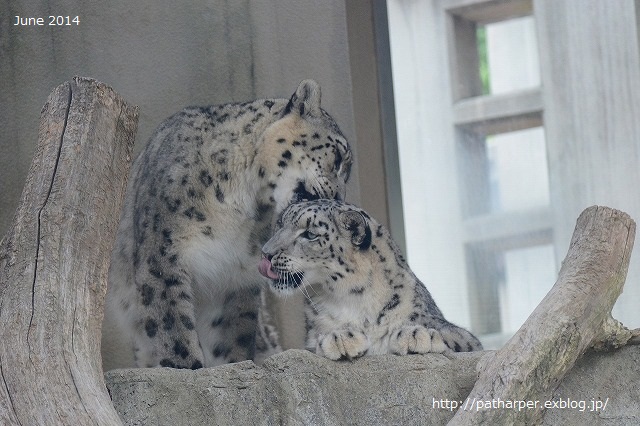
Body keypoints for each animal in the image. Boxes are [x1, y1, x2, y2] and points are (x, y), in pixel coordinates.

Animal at [100, 80, 352, 370]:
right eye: (338, 157)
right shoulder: (163, 254)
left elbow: (232, 335)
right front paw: (188, 368)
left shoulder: (237, 276)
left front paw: (233, 368)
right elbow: (174, 325)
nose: (339, 199)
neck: (242, 199)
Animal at [258, 200, 482, 360]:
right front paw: (340, 338)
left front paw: (416, 334)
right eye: (279, 224)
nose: (266, 253)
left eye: (310, 234)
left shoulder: (464, 338)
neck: (353, 301)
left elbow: (455, 337)